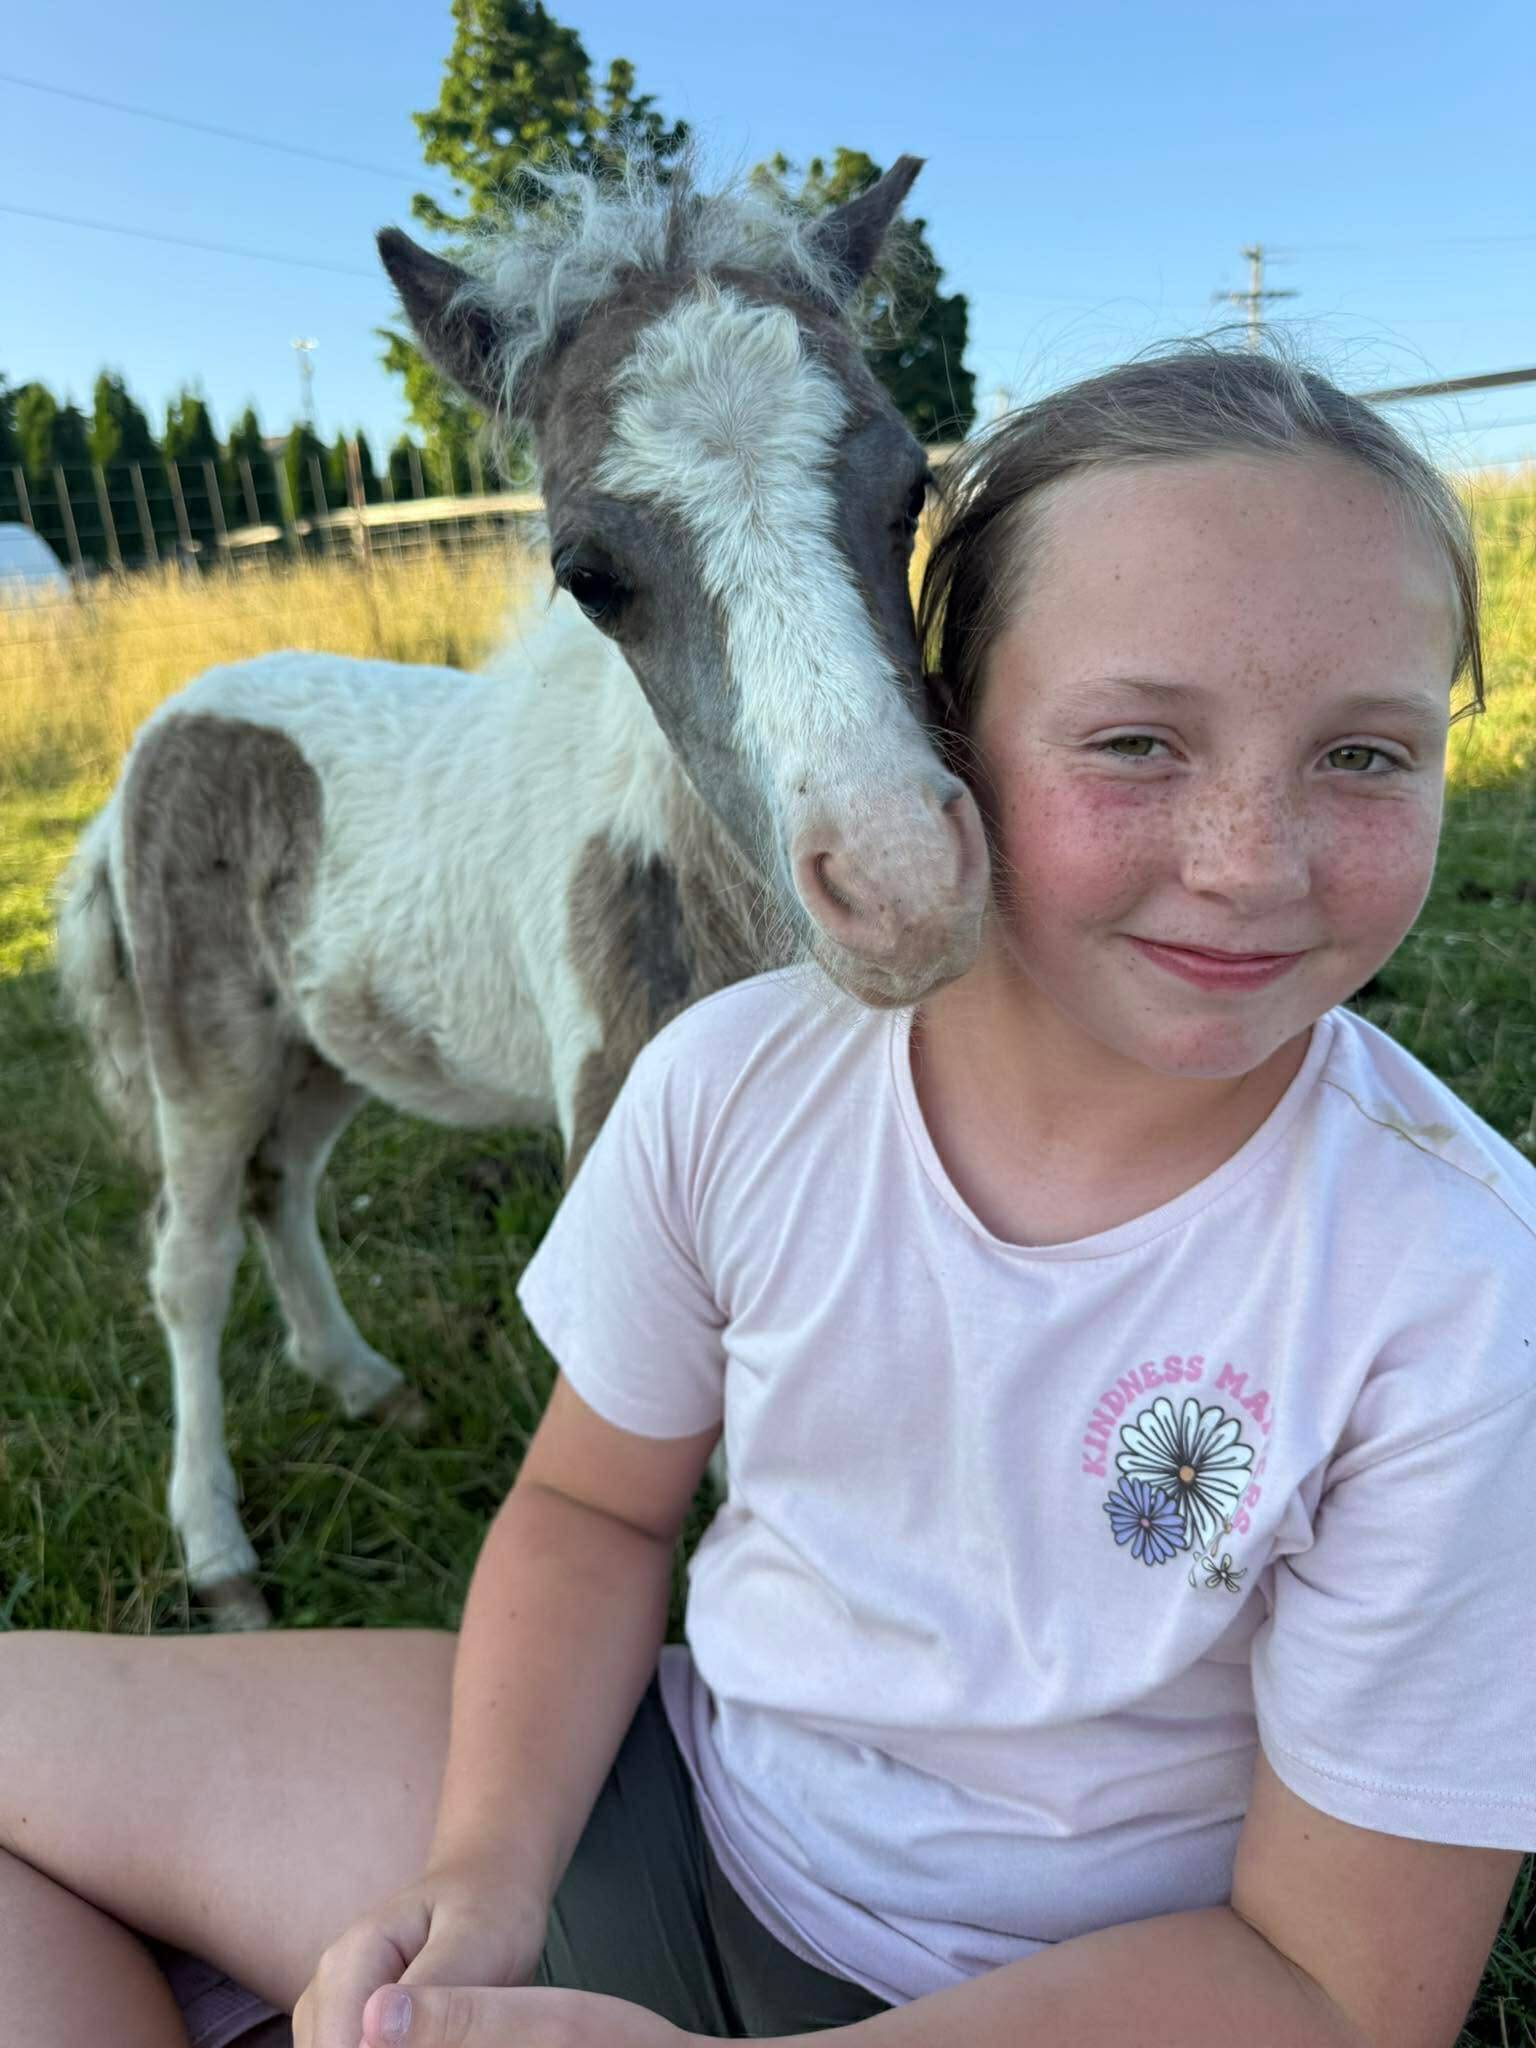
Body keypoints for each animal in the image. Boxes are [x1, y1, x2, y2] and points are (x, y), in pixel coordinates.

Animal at [55, 152, 989, 1628]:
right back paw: (216, 1546)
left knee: (280, 1188)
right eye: (587, 573)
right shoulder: (614, 1142)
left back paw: (362, 1382)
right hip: (203, 1045)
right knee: (191, 1260)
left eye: (911, 492)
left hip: (326, 1044)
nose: (903, 884)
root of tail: (160, 733)